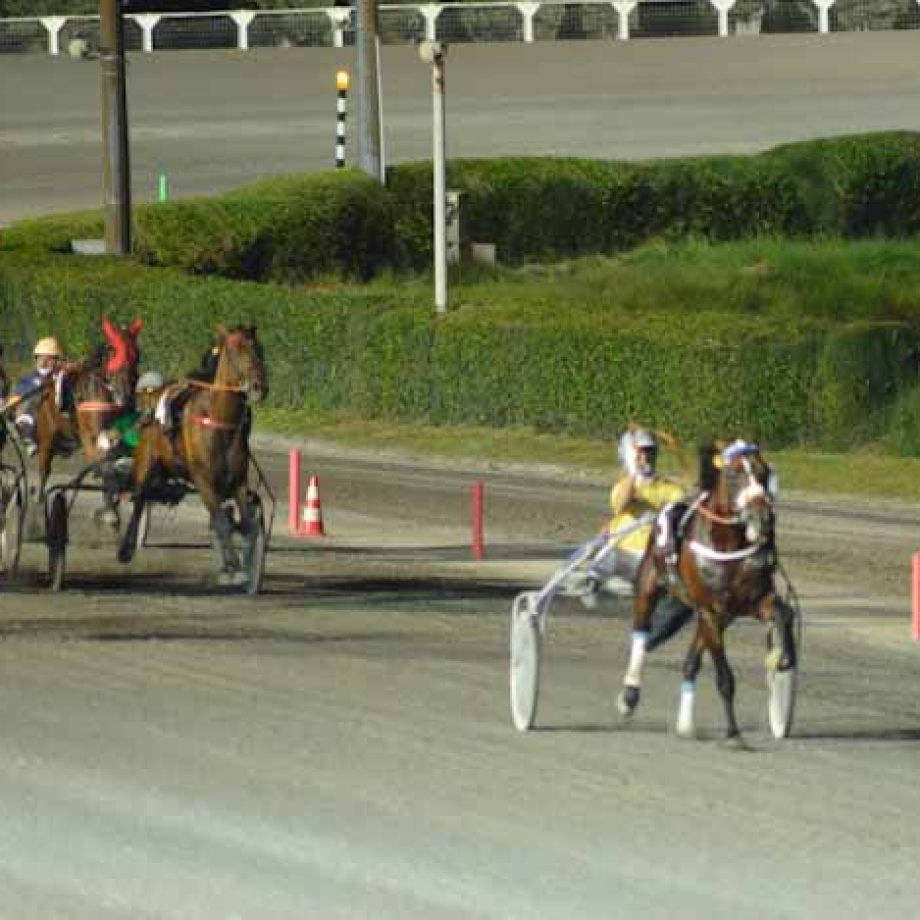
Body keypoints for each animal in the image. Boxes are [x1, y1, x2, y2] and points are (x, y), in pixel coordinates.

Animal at [118, 324, 266, 584]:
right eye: (236, 350)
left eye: (259, 349)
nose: (259, 386)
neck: (219, 421)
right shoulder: (203, 480)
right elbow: (222, 523)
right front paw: (233, 569)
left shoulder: (238, 481)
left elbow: (246, 523)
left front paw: (243, 565)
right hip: (145, 461)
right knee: (139, 500)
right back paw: (126, 548)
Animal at [620, 440, 796, 748]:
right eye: (735, 474)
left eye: (763, 473)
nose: (763, 517)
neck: (727, 545)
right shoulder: (711, 612)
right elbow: (725, 678)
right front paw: (734, 733)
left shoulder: (750, 603)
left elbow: (782, 613)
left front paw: (782, 657)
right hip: (649, 587)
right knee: (641, 635)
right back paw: (630, 695)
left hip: (715, 616)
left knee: (690, 663)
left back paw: (685, 725)